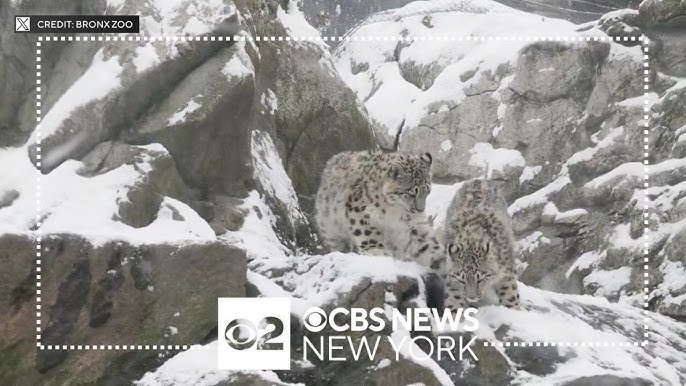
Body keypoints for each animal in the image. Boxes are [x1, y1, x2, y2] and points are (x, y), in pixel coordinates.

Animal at [316, 150, 446, 272]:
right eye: (411, 193)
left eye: (427, 192)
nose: (420, 209)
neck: (395, 210)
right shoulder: (358, 210)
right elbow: (367, 231)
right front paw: (377, 251)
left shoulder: (412, 225)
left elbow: (425, 243)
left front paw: (443, 261)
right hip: (331, 229)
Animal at [446, 179, 520, 310]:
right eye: (461, 280)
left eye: (481, 279)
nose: (471, 297)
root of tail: (478, 180)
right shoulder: (451, 279)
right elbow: (453, 297)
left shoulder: (507, 274)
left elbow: (509, 295)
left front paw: (513, 309)